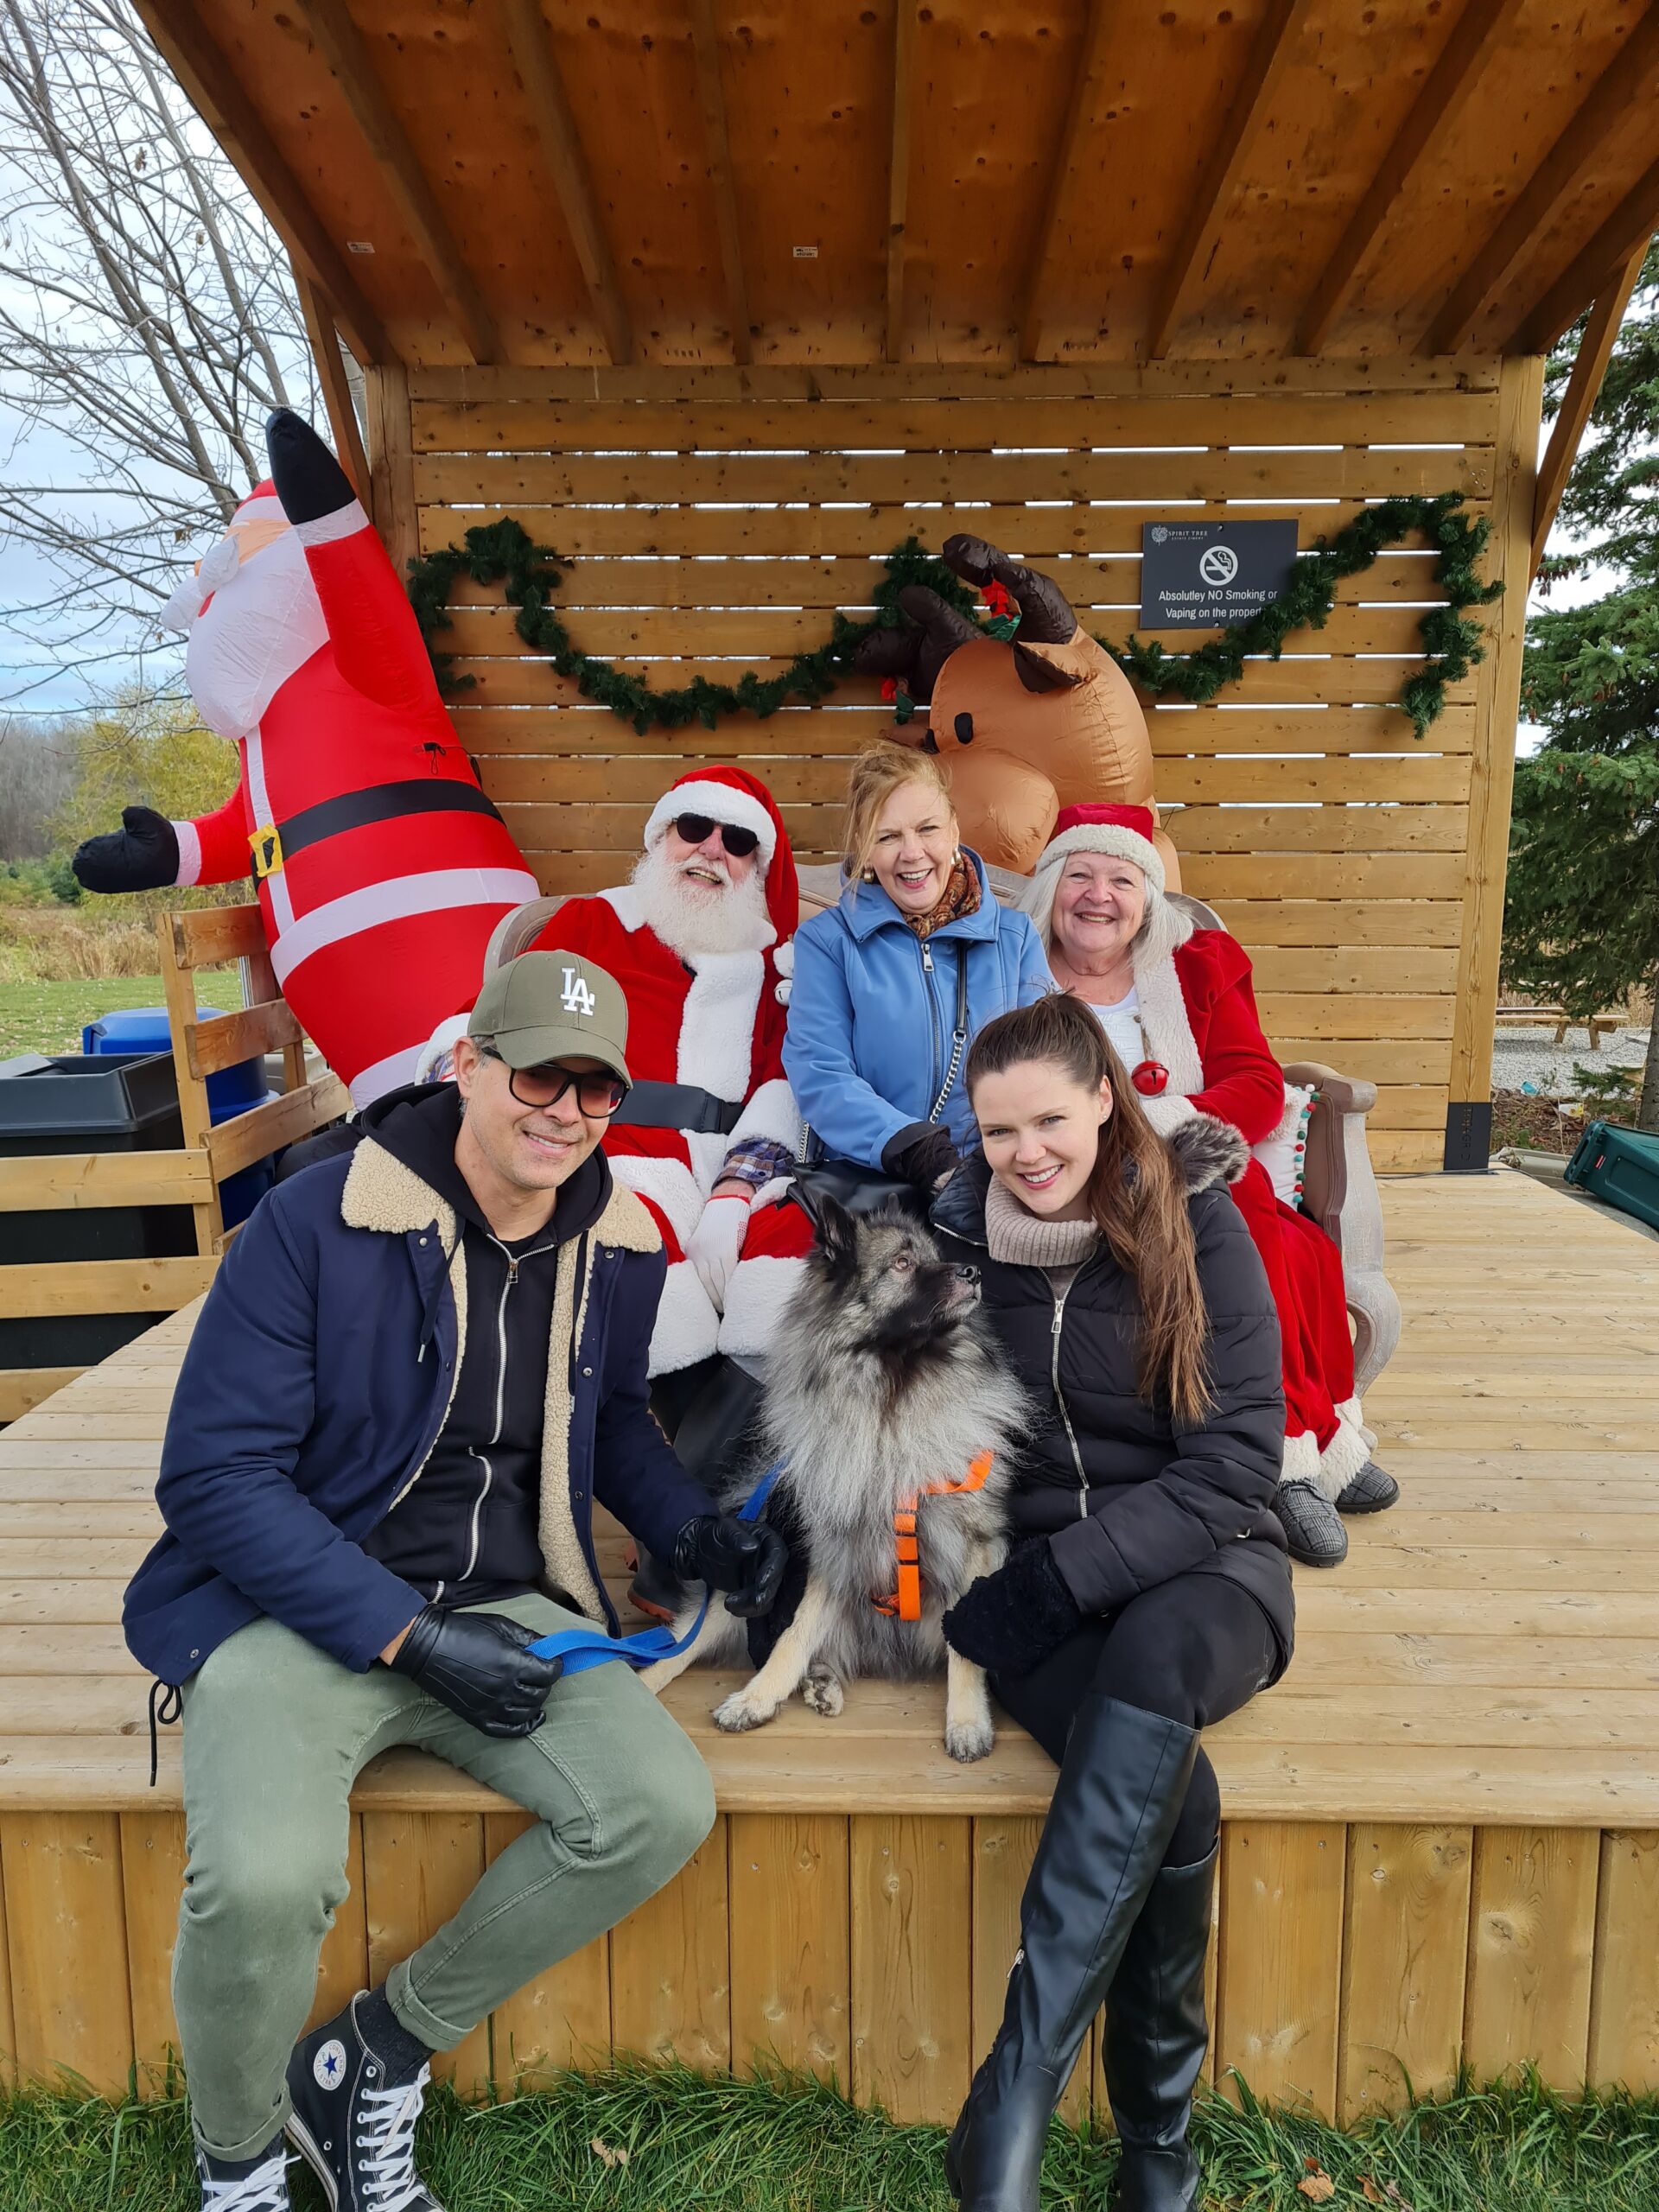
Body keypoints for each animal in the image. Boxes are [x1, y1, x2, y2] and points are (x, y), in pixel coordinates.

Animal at [645, 1194, 1026, 1760]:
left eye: (936, 1256)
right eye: (902, 1264)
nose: (974, 1272)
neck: (892, 1398)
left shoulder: (973, 1547)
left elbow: (966, 1644)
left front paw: (966, 1722)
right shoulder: (836, 1546)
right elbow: (794, 1635)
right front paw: (756, 1698)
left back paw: (821, 1683)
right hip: (740, 1589)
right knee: (681, 1644)